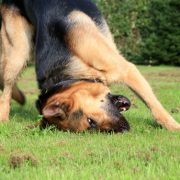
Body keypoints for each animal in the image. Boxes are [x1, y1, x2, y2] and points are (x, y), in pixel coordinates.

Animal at [0, 0, 179, 132]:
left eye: (90, 121)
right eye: (92, 125)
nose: (123, 130)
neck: (69, 74)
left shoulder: (127, 70)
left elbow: (154, 107)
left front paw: (173, 127)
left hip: (19, 53)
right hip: (17, 53)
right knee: (6, 87)